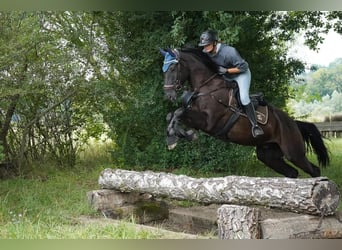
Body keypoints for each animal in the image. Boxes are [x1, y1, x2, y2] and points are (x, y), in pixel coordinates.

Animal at [160, 47, 328, 179]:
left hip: (293, 152)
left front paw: (179, 136)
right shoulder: (196, 118)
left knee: (314, 170)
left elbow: (179, 112)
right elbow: (173, 114)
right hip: (268, 154)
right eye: (164, 70)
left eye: (173, 69)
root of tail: (293, 123)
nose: (168, 95)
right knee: (292, 172)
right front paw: (176, 136)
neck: (208, 88)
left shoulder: (209, 122)